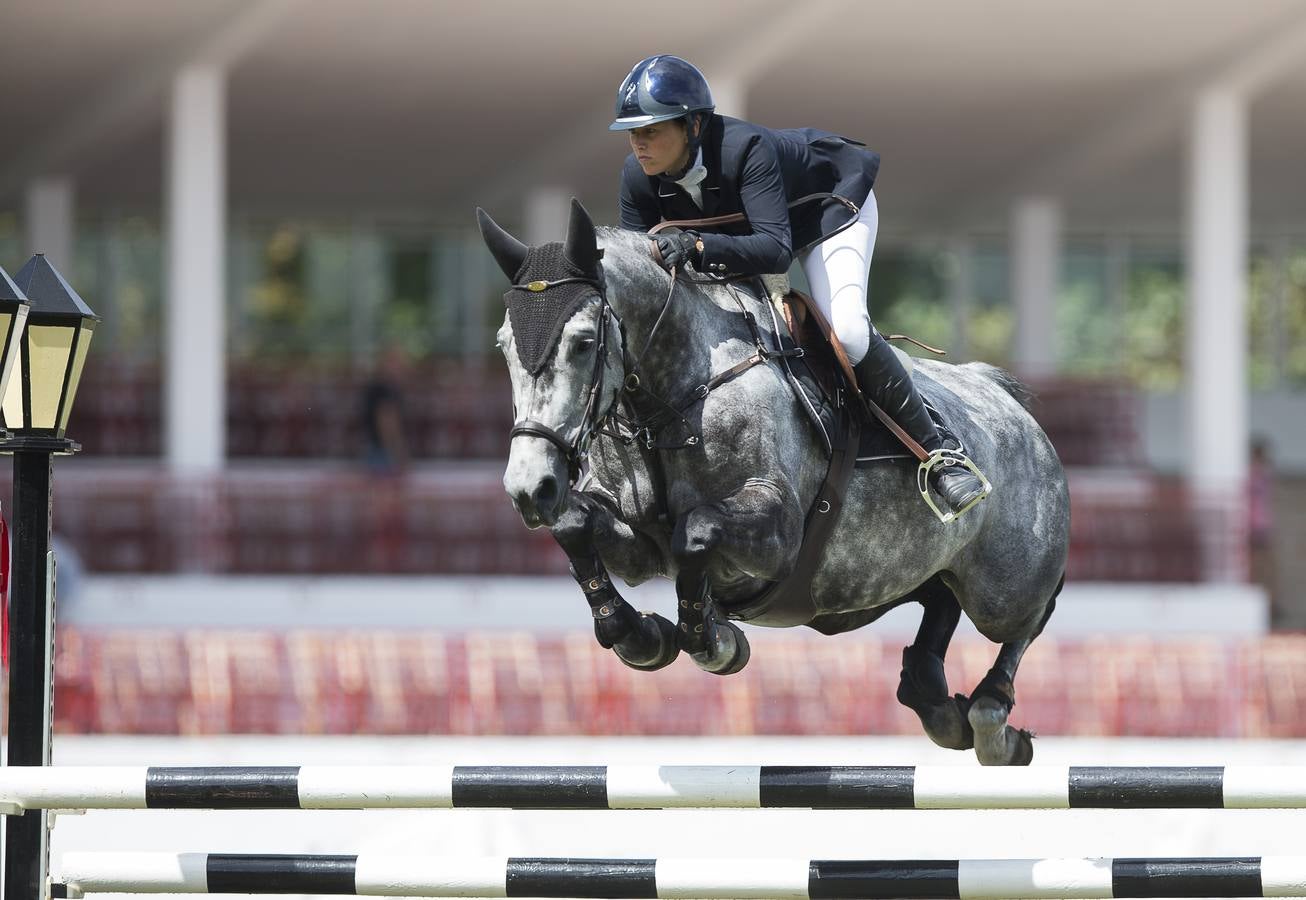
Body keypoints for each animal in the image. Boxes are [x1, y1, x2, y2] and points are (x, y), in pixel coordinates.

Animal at [480, 199, 1070, 762]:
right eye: (503, 345)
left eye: (582, 343)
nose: (530, 488)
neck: (676, 395)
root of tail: (1005, 398)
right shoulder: (637, 545)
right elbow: (577, 524)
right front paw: (639, 635)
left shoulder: (777, 533)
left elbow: (696, 531)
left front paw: (710, 640)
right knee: (941, 600)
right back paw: (937, 701)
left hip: (1005, 588)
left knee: (1030, 616)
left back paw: (993, 718)